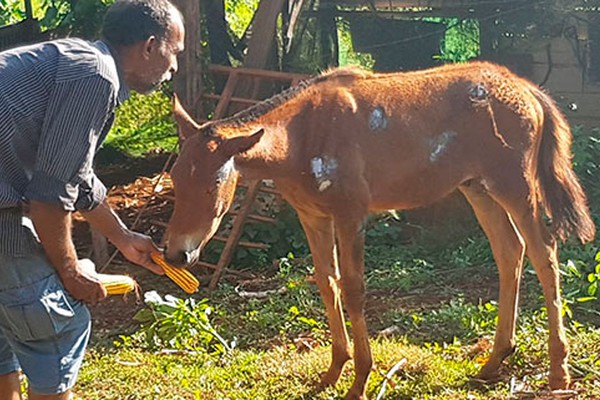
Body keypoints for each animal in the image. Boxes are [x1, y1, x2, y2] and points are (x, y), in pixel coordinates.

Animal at [161, 62, 596, 400]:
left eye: (212, 186)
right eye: (177, 177)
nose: (177, 253)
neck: (302, 136)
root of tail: (529, 91)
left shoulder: (351, 213)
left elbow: (353, 288)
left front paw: (359, 380)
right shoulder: (312, 216)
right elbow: (326, 282)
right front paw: (332, 372)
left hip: (514, 185)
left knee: (544, 253)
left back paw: (558, 371)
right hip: (478, 188)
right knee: (510, 251)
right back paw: (494, 360)